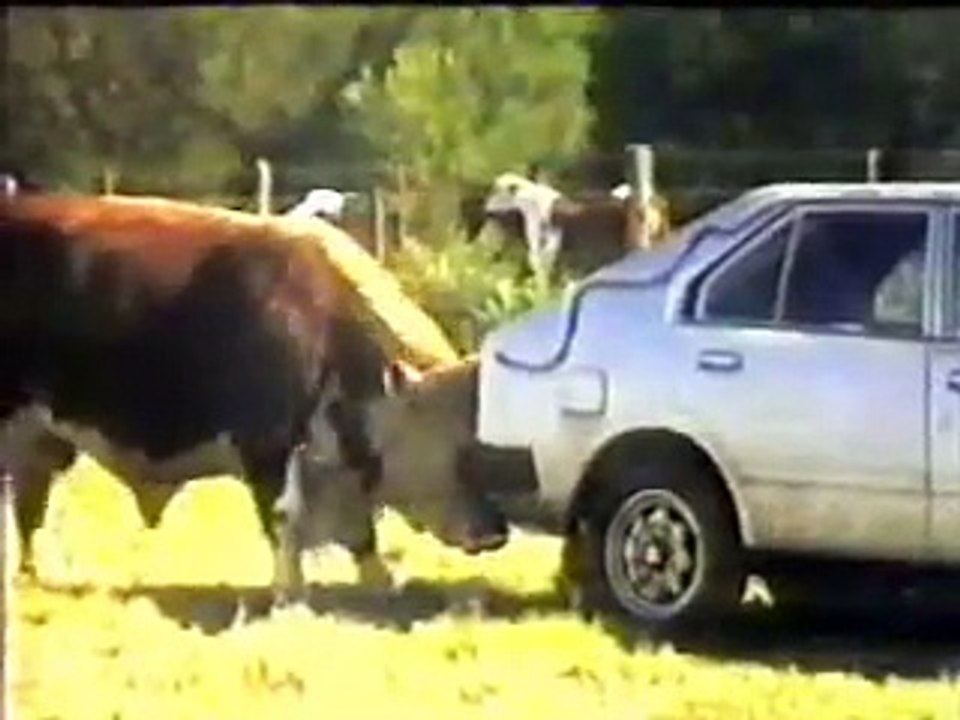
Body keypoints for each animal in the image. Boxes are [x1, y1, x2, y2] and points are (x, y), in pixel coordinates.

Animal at [0, 192, 507, 612]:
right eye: (462, 448)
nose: (495, 531)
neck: (324, 323)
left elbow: (361, 532)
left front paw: (380, 582)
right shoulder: (267, 446)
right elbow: (284, 520)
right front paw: (289, 595)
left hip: (41, 436)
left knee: (31, 502)